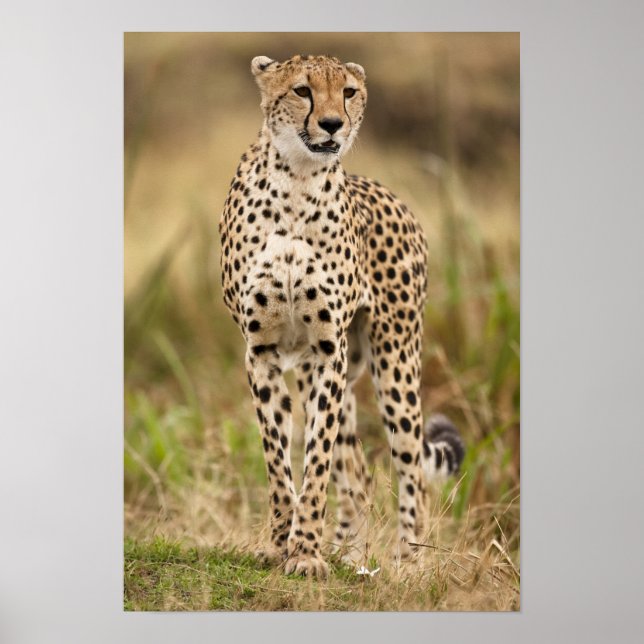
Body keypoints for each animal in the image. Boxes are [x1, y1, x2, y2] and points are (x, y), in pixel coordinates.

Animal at [219, 54, 465, 578]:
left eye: (349, 92)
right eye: (301, 90)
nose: (333, 124)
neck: (297, 180)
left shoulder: (325, 353)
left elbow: (315, 462)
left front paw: (306, 553)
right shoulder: (262, 353)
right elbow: (278, 459)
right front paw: (281, 545)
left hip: (395, 362)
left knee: (410, 470)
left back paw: (407, 564)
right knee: (358, 474)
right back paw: (350, 556)